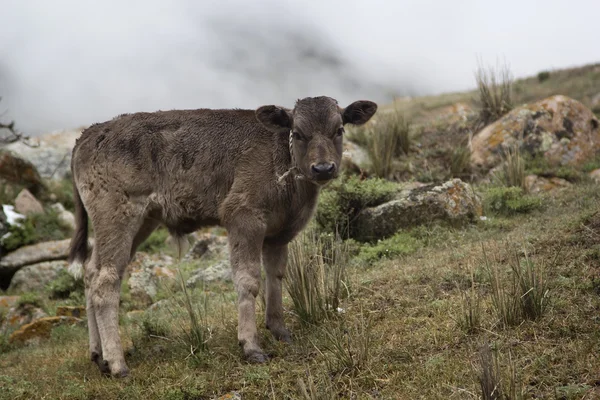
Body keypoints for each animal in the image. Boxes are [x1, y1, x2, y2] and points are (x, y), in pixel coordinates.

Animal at [67, 95, 376, 376]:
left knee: (91, 272)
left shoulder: (279, 234)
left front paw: (280, 330)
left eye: (339, 129)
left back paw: (98, 356)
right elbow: (248, 280)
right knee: (105, 281)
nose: (323, 168)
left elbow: (276, 276)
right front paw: (251, 346)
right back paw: (117, 364)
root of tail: (90, 133)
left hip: (142, 222)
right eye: (298, 132)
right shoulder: (242, 216)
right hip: (117, 216)